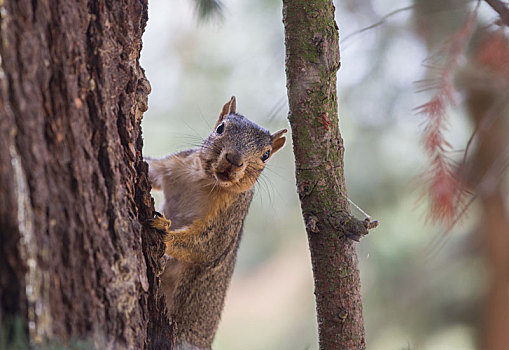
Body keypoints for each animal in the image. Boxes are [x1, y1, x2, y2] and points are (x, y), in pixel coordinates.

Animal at [146, 96, 286, 350]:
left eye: (266, 154)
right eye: (220, 128)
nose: (234, 160)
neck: (205, 181)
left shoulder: (228, 218)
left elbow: (207, 246)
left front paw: (164, 231)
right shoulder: (175, 165)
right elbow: (151, 169)